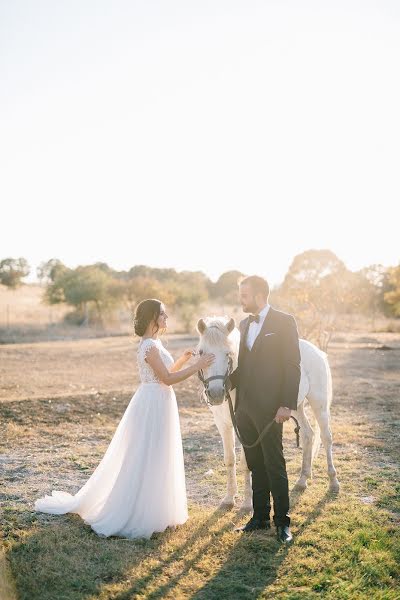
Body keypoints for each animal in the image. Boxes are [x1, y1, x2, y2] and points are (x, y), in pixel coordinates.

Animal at [195, 316, 340, 508]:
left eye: (228, 353)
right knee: (308, 434)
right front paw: (229, 498)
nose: (216, 393)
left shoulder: (245, 426)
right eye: (201, 352)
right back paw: (302, 481)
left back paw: (333, 482)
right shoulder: (223, 424)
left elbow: (246, 463)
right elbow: (230, 459)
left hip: (319, 404)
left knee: (326, 437)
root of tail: (317, 351)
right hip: (296, 406)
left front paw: (247, 503)